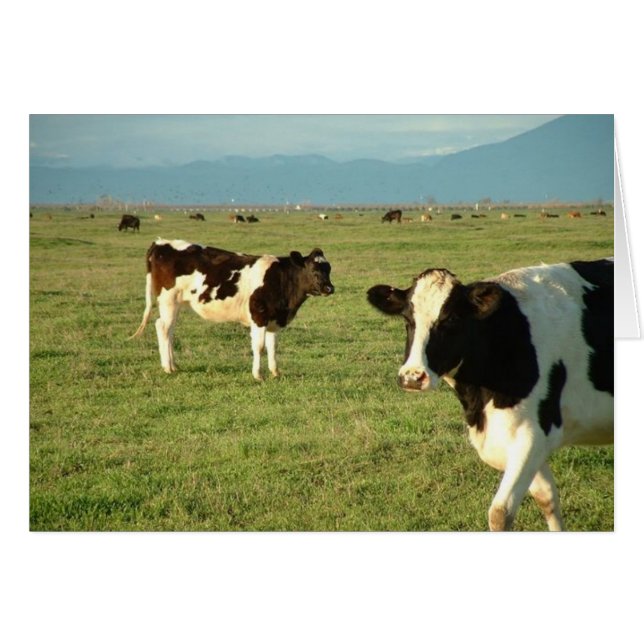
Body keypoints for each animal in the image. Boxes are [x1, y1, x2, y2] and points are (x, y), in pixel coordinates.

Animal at [130, 239, 334, 381]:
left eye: (328, 269)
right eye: (313, 269)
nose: (329, 288)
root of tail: (160, 243)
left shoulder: (274, 320)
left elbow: (273, 347)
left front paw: (275, 372)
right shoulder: (259, 316)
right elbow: (259, 347)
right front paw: (258, 375)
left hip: (176, 303)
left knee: (170, 330)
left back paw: (174, 365)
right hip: (168, 300)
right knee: (162, 327)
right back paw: (167, 367)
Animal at [367, 258, 613, 531]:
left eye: (452, 318)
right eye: (408, 319)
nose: (412, 376)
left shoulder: (531, 433)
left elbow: (500, 512)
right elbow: (547, 497)